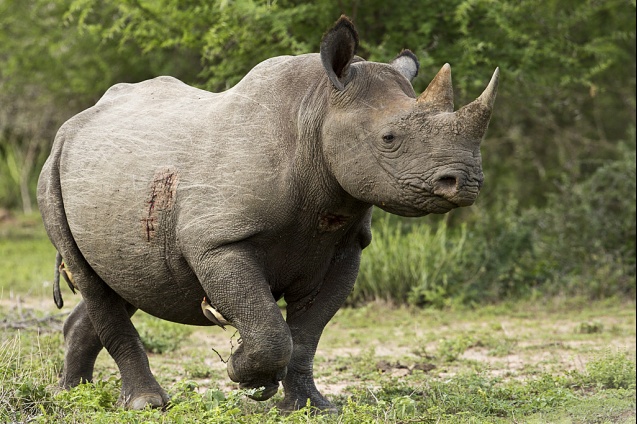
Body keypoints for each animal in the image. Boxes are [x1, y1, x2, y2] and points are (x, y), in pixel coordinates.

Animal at [37, 15, 500, 410]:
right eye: (389, 138)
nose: (466, 182)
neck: (319, 110)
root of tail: (76, 121)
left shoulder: (345, 246)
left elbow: (306, 335)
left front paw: (309, 406)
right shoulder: (216, 241)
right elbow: (270, 331)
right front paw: (249, 376)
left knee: (125, 281)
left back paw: (73, 394)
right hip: (52, 171)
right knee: (93, 282)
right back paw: (144, 404)